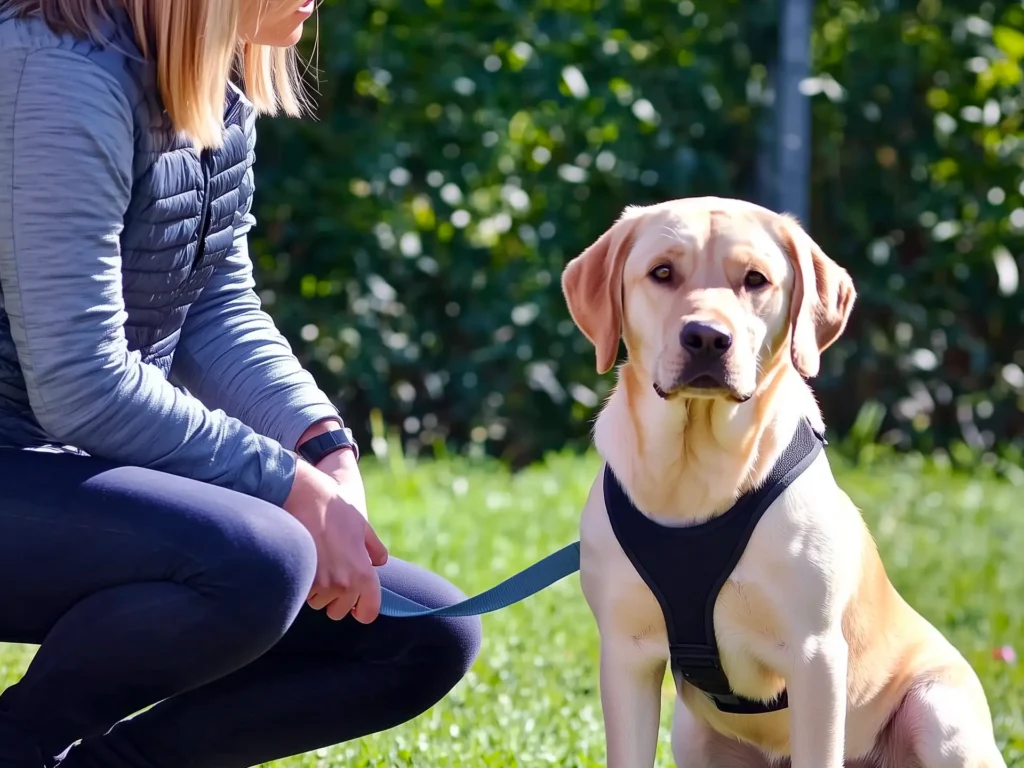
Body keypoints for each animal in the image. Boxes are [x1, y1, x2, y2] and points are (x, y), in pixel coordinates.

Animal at [561, 198, 999, 768]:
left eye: (755, 279)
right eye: (661, 272)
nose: (707, 337)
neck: (694, 471)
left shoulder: (815, 656)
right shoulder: (625, 653)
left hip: (940, 712)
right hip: (692, 736)